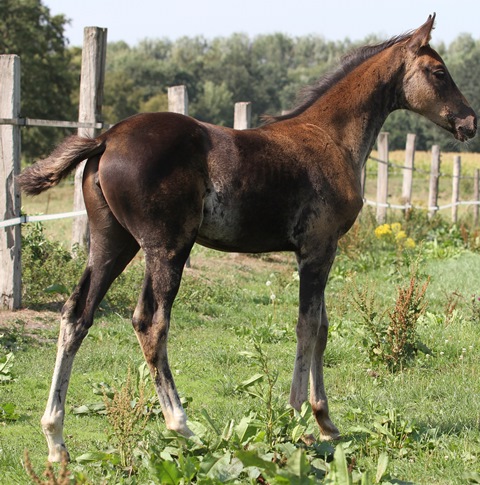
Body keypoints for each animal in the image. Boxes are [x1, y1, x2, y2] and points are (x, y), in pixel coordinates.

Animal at [18, 14, 476, 462]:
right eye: (439, 72)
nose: (469, 121)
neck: (331, 138)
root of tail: (105, 138)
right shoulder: (318, 249)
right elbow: (308, 326)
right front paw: (295, 418)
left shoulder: (320, 251)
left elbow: (323, 328)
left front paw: (326, 422)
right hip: (166, 247)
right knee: (150, 321)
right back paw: (183, 428)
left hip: (111, 242)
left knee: (77, 314)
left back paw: (56, 440)